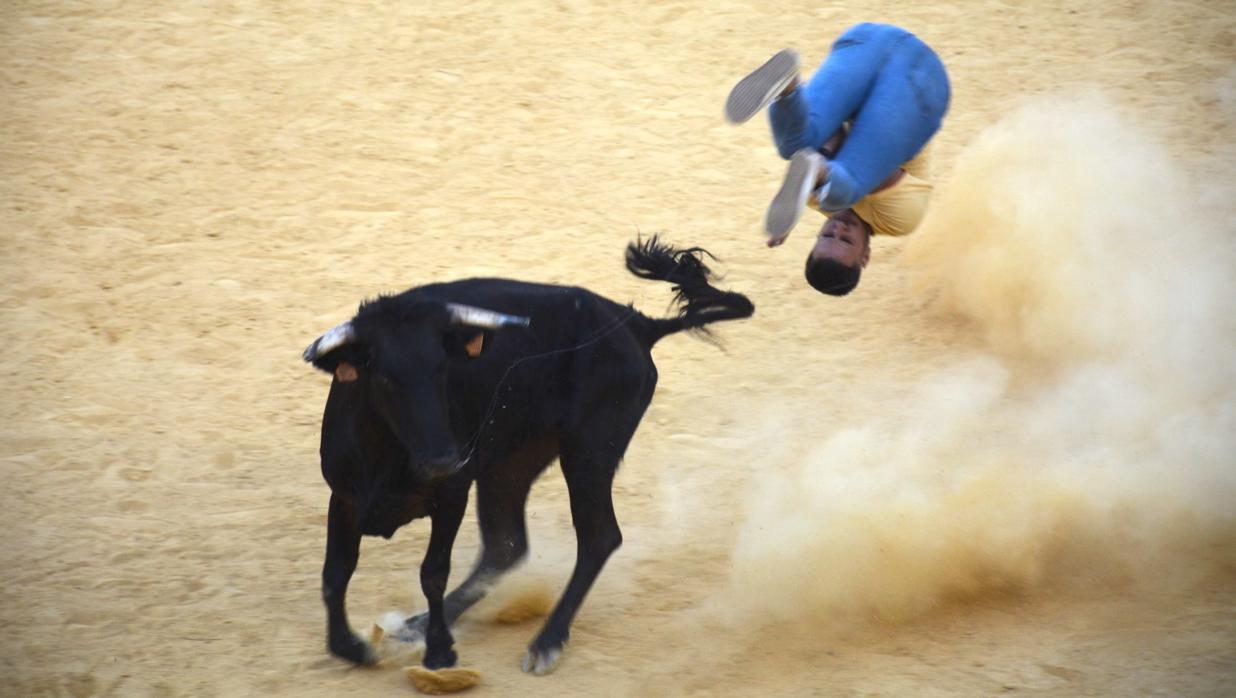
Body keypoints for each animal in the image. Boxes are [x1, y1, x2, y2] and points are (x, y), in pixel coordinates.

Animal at [304, 237, 756, 672]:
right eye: (384, 380)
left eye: (443, 371)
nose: (443, 460)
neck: (389, 455)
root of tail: (635, 325)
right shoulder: (344, 498)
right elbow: (335, 573)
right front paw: (351, 647)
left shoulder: (451, 495)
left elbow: (432, 572)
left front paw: (440, 652)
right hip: (511, 464)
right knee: (506, 544)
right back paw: (423, 623)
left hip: (589, 453)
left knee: (598, 537)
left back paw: (546, 641)